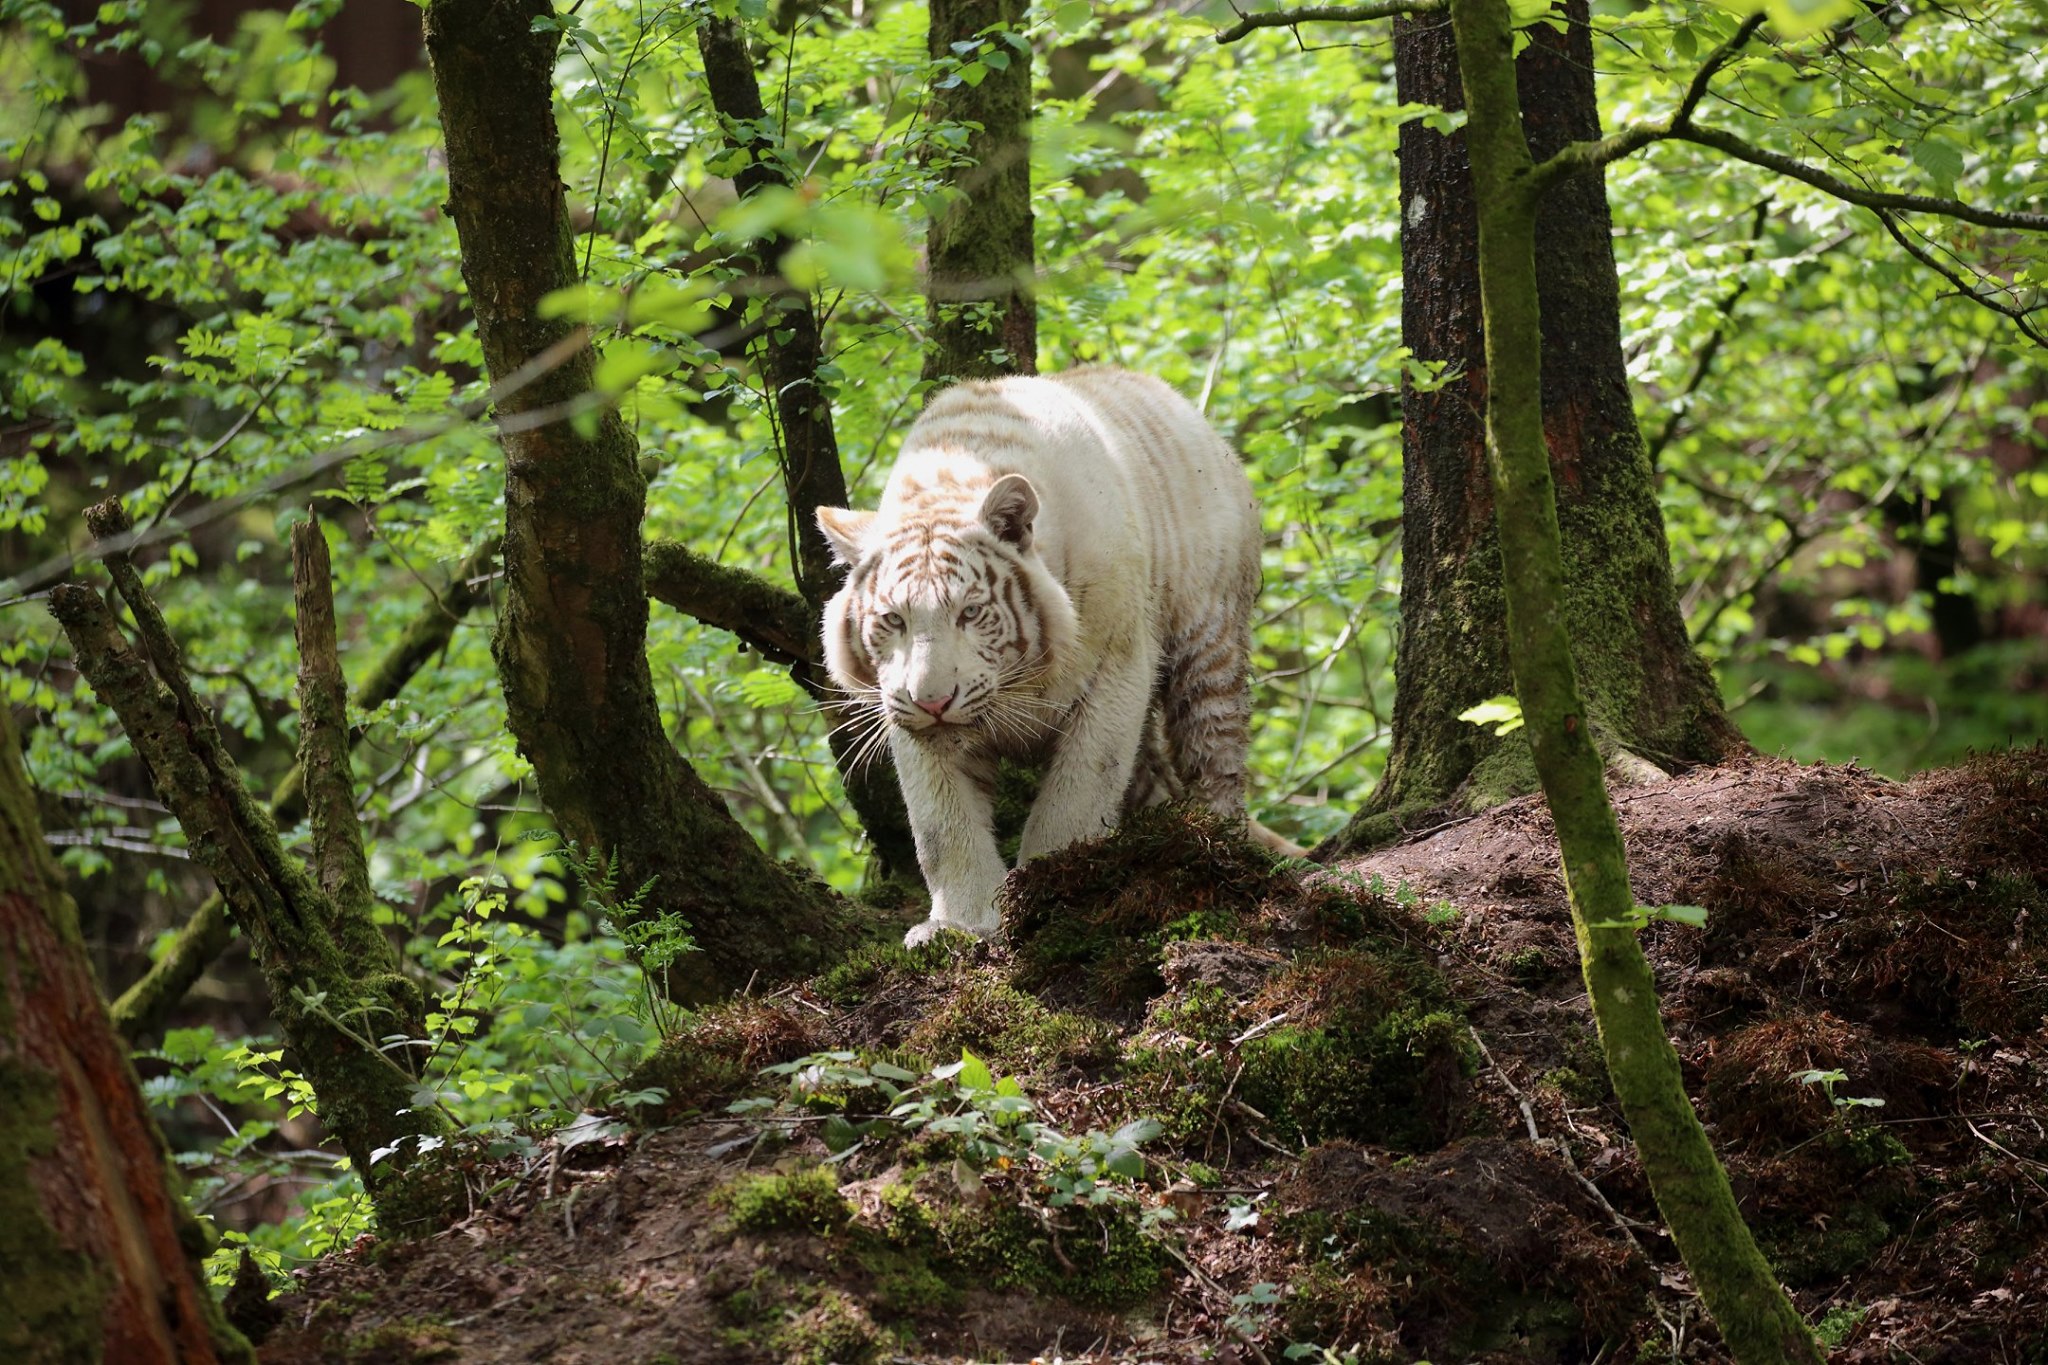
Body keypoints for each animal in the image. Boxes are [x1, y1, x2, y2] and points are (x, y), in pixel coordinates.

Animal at [811, 368, 1277, 945]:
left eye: (969, 612)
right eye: (893, 620)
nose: (934, 701)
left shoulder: (1116, 670)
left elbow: (1075, 797)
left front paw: (1047, 890)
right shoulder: (904, 714)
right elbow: (942, 826)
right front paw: (959, 924)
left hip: (1210, 642)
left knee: (1216, 752)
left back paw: (1218, 843)